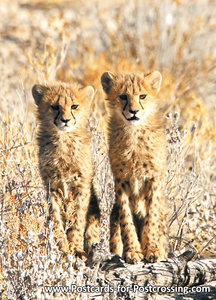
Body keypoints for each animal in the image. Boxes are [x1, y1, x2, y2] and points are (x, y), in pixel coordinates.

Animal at [32, 81, 100, 256]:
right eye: (55, 107)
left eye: (74, 106)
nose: (65, 120)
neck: (63, 139)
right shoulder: (53, 187)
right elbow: (56, 220)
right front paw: (62, 247)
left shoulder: (81, 186)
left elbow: (78, 219)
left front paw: (75, 248)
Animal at [101, 71, 169, 264]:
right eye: (123, 96)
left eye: (142, 96)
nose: (133, 111)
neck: (134, 132)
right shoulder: (121, 180)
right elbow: (126, 219)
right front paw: (132, 251)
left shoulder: (154, 179)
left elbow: (151, 217)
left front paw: (151, 249)